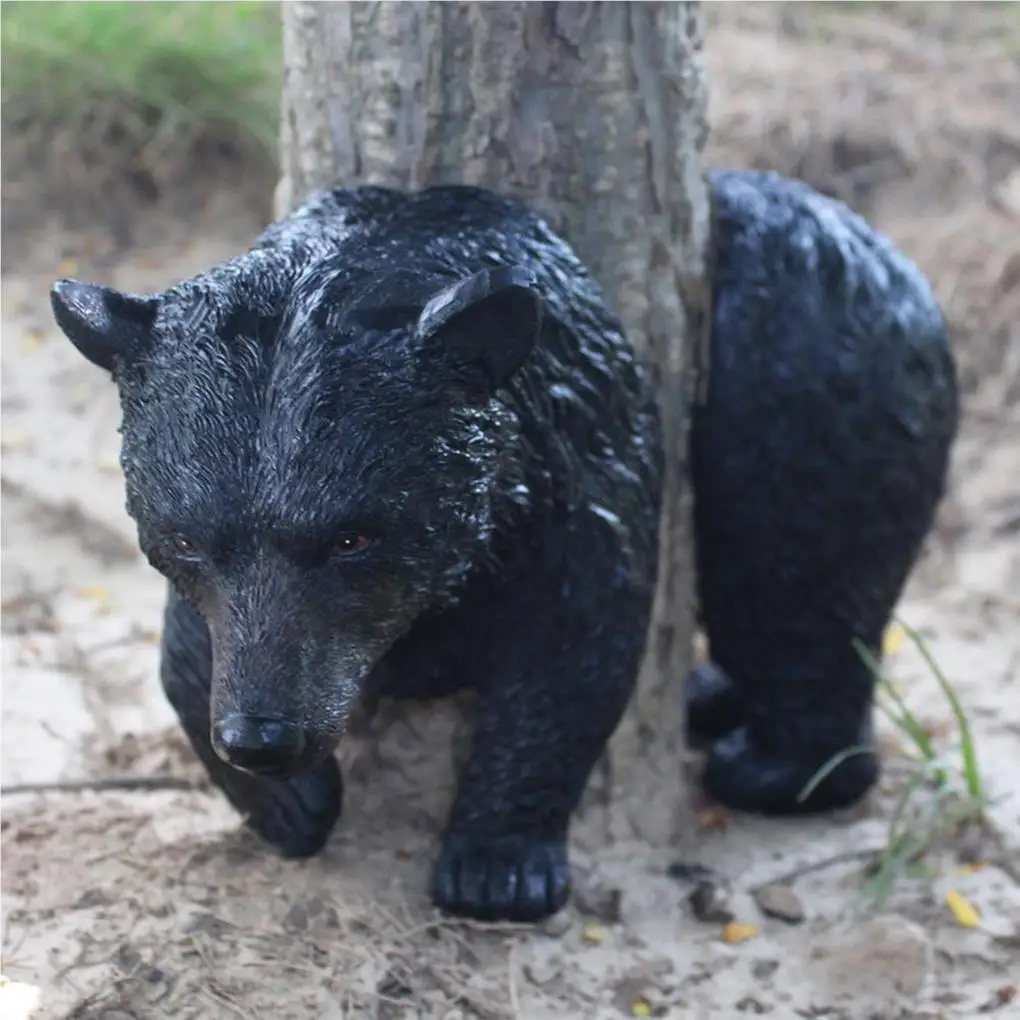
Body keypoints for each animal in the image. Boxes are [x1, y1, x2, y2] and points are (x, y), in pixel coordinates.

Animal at [49, 185, 664, 925]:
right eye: (184, 539)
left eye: (354, 538)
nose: (261, 738)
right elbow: (191, 649)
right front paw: (292, 805)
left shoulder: (577, 472)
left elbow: (575, 649)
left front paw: (499, 864)